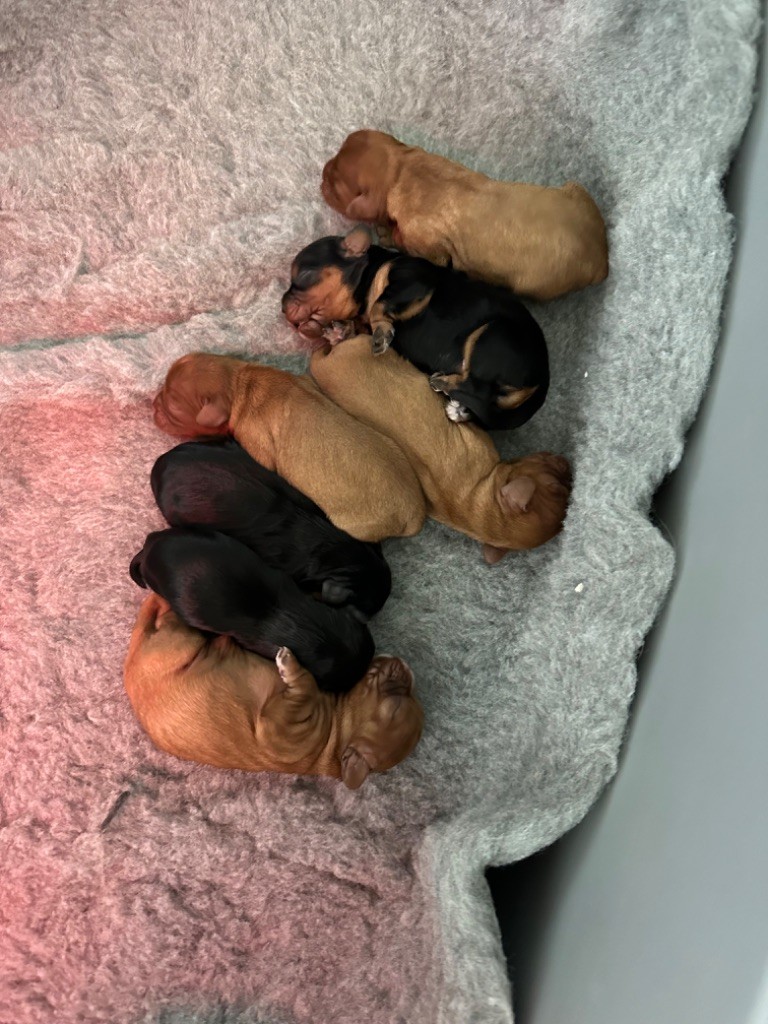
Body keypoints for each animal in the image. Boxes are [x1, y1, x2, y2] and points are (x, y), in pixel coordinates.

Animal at [124, 593, 423, 789]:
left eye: (396, 708)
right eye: (404, 701)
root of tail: (131, 668)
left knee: (163, 614)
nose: (407, 668)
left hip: (179, 642)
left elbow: (307, 686)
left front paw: (289, 666)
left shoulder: (275, 729)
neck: (334, 737)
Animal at [152, 352, 427, 543]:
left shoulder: (257, 445)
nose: (152, 404)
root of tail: (415, 514)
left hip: (355, 525)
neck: (240, 384)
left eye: (171, 408)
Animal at [282, 226, 549, 430]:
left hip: (489, 336)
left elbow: (380, 305)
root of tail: (544, 375)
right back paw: (458, 409)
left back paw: (443, 385)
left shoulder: (412, 282)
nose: (282, 308)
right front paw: (337, 332)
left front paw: (382, 333)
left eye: (304, 275)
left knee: (476, 388)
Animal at [309, 335, 572, 563]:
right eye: (554, 485)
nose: (568, 464)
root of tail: (321, 369)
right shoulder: (479, 439)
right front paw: (457, 410)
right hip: (364, 345)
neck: (481, 504)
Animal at [320, 129, 608, 302]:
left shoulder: (427, 249)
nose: (321, 174)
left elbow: (402, 240)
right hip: (576, 189)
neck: (401, 172)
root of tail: (601, 261)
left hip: (531, 286)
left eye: (333, 186)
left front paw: (387, 233)